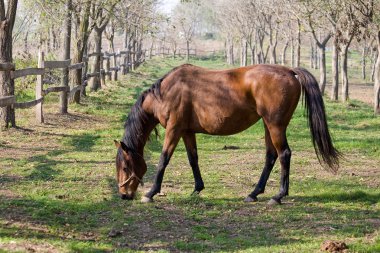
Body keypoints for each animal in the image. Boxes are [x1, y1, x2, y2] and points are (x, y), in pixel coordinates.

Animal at [113, 64, 338, 205]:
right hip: (268, 126)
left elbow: (163, 160)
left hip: (275, 126)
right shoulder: (187, 132)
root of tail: (289, 71)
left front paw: (151, 193)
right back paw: (254, 193)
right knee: (271, 156)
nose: (124, 195)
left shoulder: (174, 130)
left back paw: (278, 196)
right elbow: (193, 159)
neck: (167, 92)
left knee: (284, 155)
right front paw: (197, 189)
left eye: (125, 167)